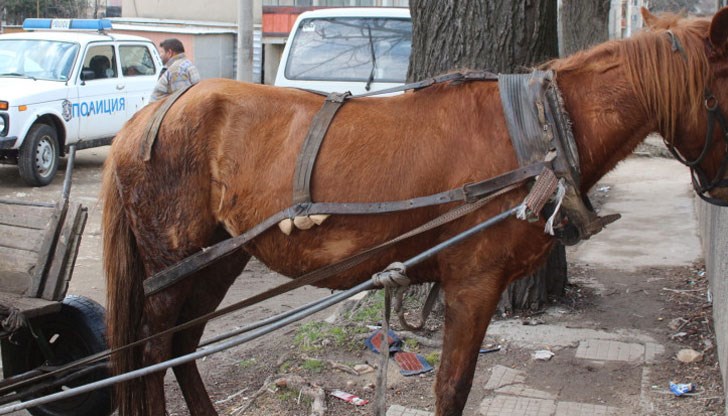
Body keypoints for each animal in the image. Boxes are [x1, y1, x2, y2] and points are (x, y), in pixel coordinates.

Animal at [101, 8, 728, 416]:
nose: (720, 190)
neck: (540, 132)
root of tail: (149, 116)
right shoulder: (474, 284)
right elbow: (451, 387)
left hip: (217, 260)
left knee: (181, 348)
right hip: (171, 266)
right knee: (152, 352)